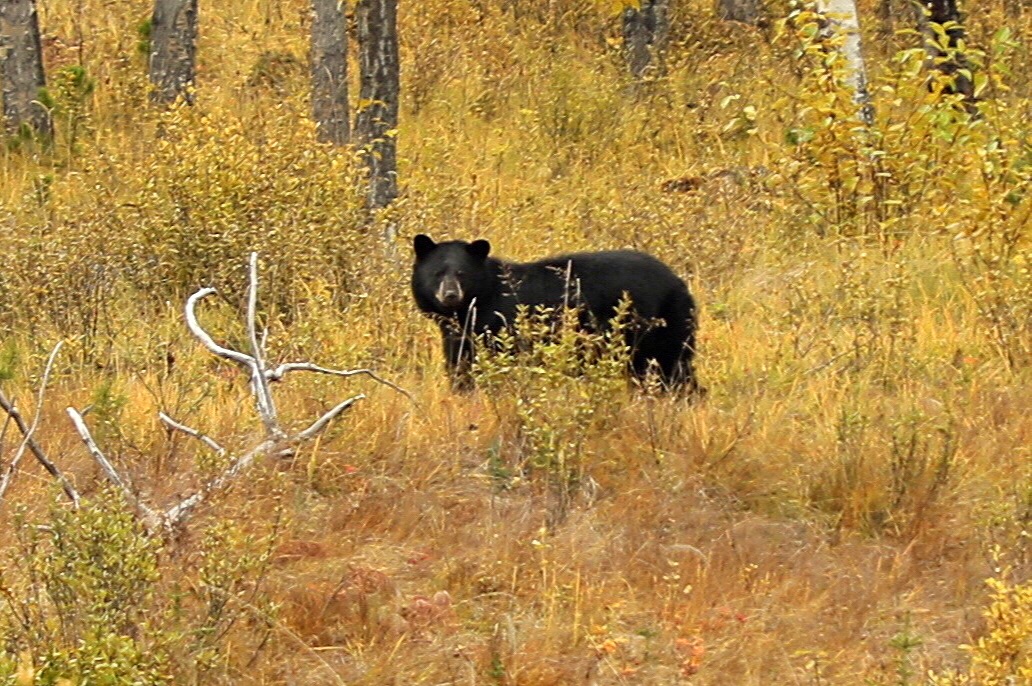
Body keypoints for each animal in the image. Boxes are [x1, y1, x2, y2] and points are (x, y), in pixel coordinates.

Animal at [410, 235, 701, 394]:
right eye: (437, 273)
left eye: (462, 273)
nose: (450, 295)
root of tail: (676, 280)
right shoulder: (458, 335)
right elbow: (460, 364)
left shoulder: (498, 324)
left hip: (657, 325)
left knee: (671, 366)